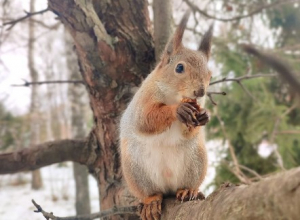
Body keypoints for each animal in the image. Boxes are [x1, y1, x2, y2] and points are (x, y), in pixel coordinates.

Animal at [118, 11, 212, 220]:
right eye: (179, 68)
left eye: (210, 73)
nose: (200, 92)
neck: (174, 96)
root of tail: (168, 187)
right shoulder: (143, 100)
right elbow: (146, 119)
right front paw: (177, 110)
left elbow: (190, 129)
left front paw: (204, 116)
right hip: (136, 169)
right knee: (152, 192)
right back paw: (151, 201)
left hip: (196, 160)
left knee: (186, 184)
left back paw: (189, 191)